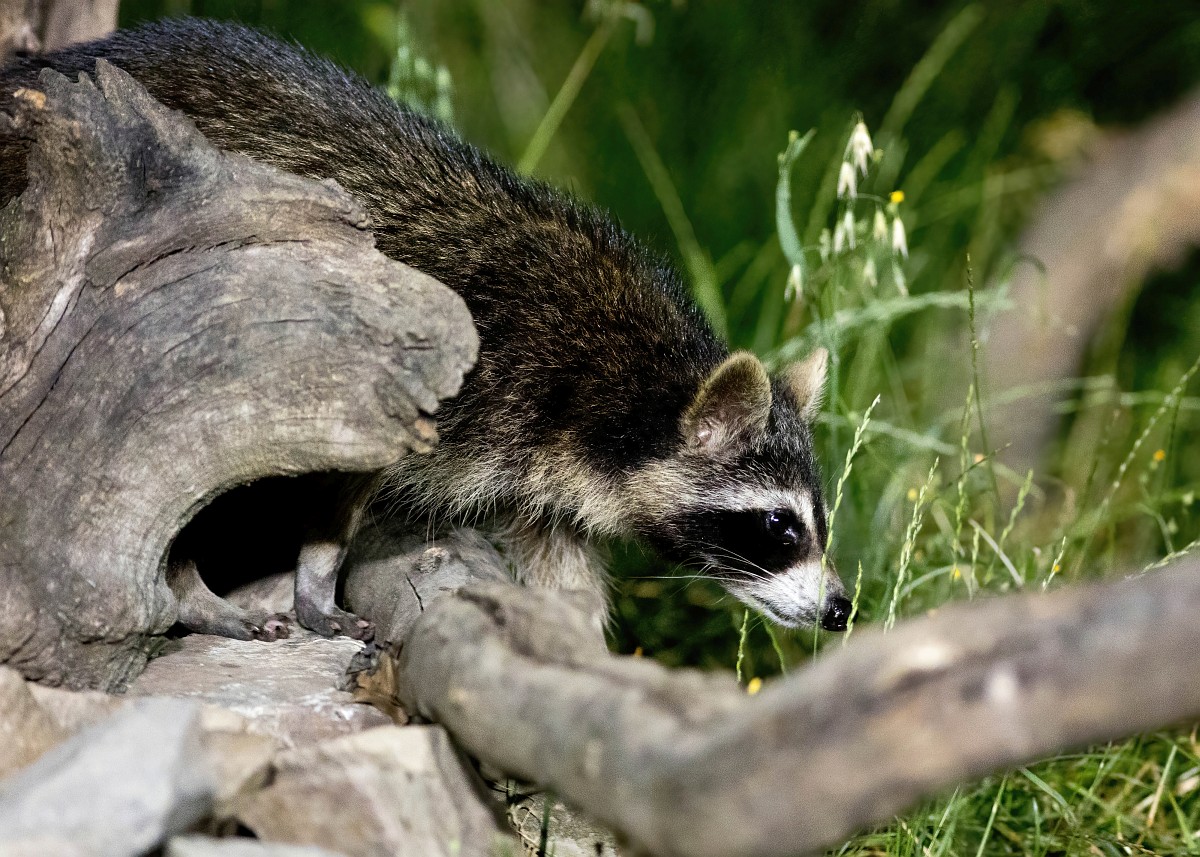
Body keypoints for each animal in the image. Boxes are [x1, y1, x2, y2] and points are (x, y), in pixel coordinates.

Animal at [0, 19, 852, 641]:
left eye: (817, 518)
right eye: (779, 526)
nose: (844, 606)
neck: (625, 381)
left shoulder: (541, 465)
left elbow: (559, 565)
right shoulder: (427, 375)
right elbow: (315, 476)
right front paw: (306, 572)